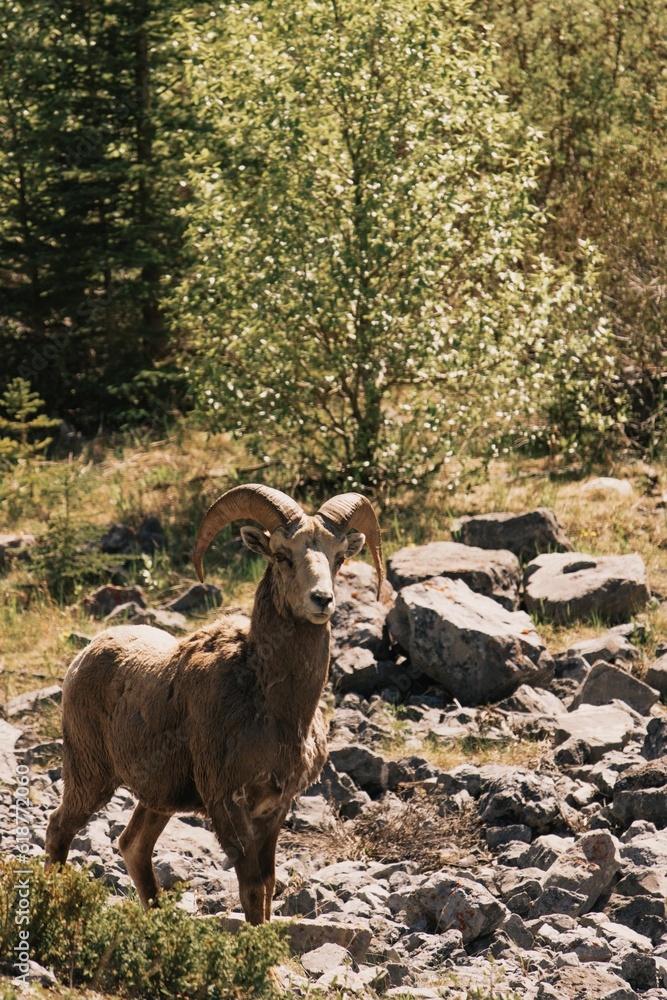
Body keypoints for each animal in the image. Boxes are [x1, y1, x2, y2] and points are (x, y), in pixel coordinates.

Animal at [44, 484, 384, 920]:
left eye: (339, 557)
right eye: (281, 554)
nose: (321, 599)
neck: (276, 709)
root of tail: (84, 655)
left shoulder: (274, 811)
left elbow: (268, 884)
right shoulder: (227, 804)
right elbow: (252, 888)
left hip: (157, 799)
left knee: (133, 846)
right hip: (90, 777)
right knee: (59, 829)